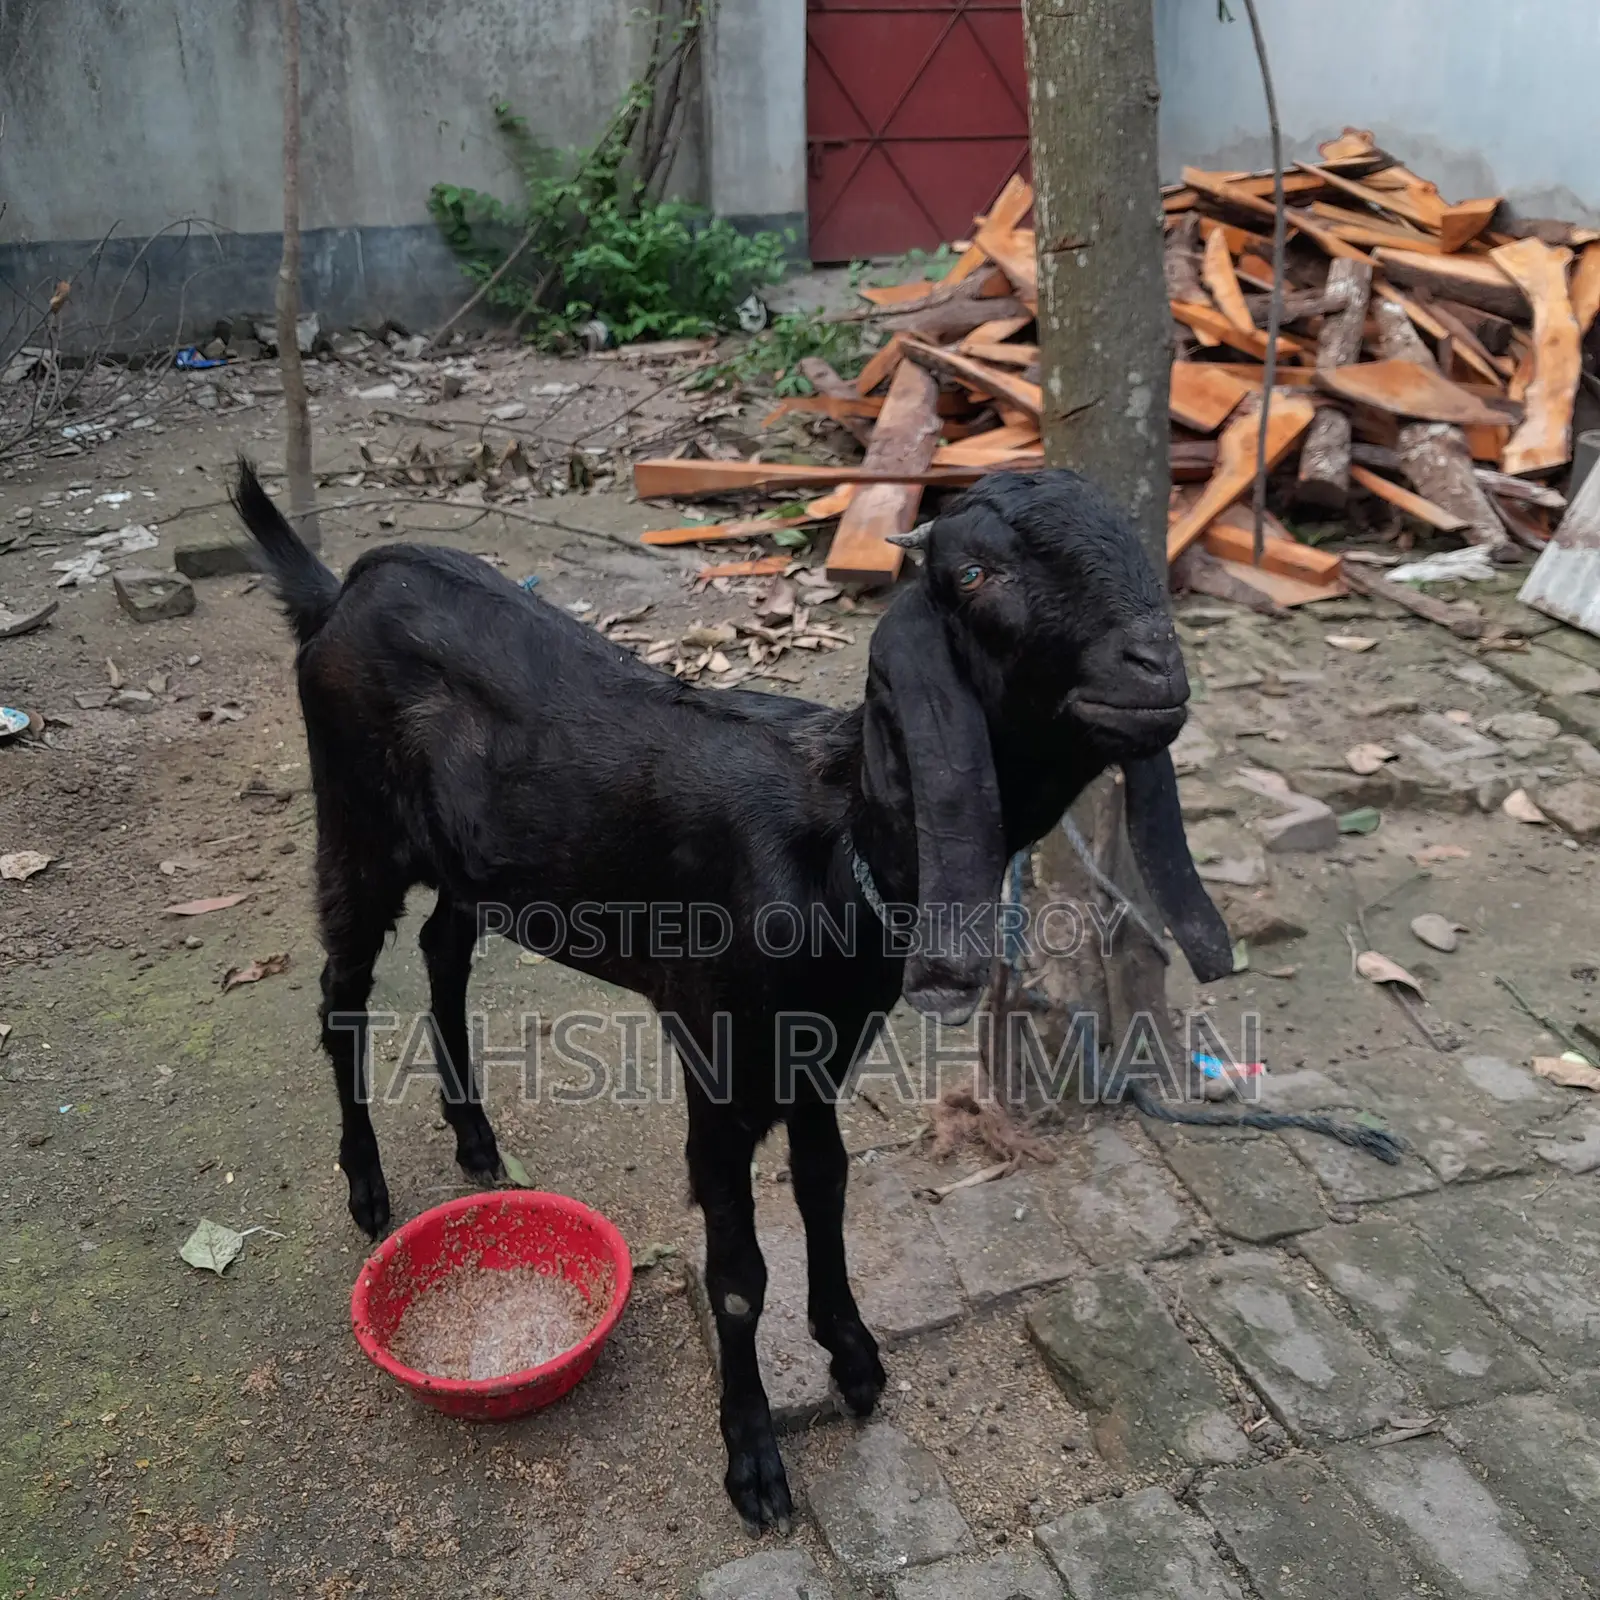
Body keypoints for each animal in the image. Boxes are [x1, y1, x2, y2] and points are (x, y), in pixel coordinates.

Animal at [231, 461, 1233, 1534]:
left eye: (1136, 542)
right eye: (973, 572)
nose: (1155, 669)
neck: (835, 847)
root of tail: (339, 592)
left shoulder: (818, 1056)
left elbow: (826, 1187)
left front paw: (854, 1356)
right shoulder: (715, 1064)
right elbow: (741, 1275)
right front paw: (753, 1458)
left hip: (469, 863)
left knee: (443, 952)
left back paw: (476, 1140)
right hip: (355, 826)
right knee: (341, 992)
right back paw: (367, 1185)